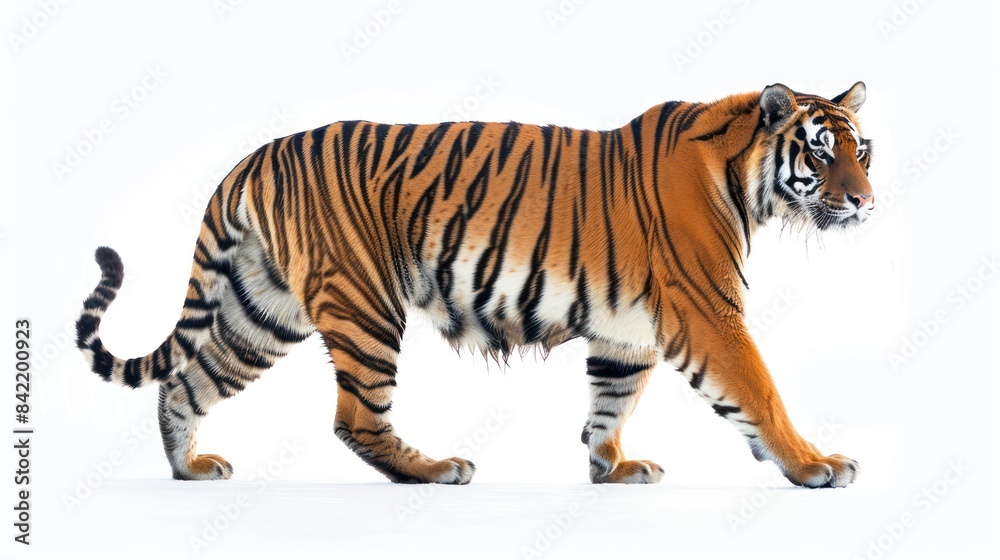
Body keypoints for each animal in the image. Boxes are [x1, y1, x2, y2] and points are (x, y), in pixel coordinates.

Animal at [76, 82, 873, 487]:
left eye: (860, 149)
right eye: (819, 153)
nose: (866, 201)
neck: (747, 183)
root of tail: (256, 155)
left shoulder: (628, 327)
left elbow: (612, 398)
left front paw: (609, 466)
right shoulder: (706, 311)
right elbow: (759, 391)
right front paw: (814, 464)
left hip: (262, 309)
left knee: (188, 381)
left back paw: (188, 467)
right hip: (365, 303)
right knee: (355, 417)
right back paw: (433, 470)